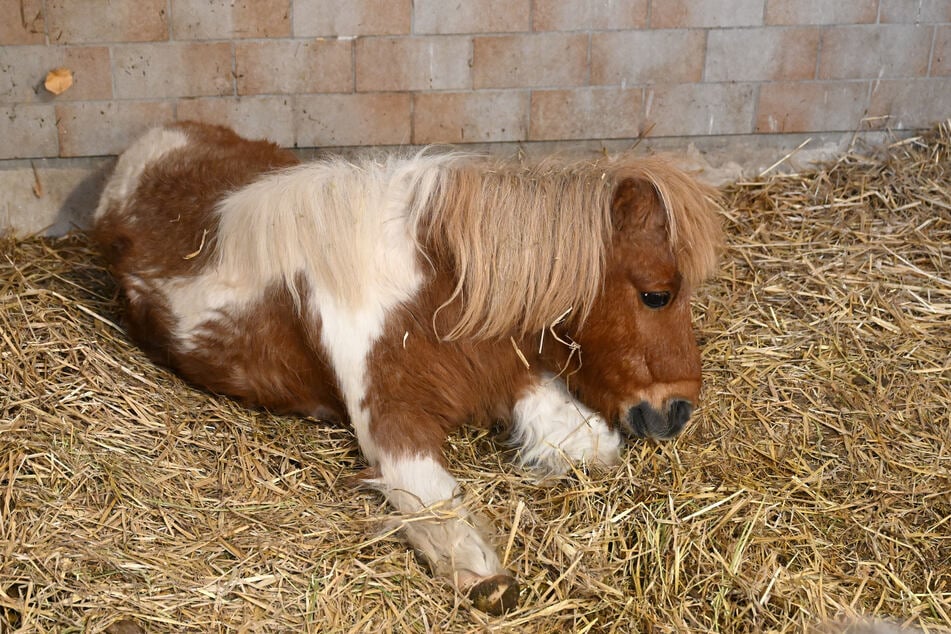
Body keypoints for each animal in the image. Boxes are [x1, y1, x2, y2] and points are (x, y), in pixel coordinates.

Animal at [91, 122, 722, 615]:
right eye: (658, 295)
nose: (678, 411)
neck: (430, 293)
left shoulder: (506, 373)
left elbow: (584, 440)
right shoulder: (393, 431)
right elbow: (446, 520)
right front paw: (487, 578)